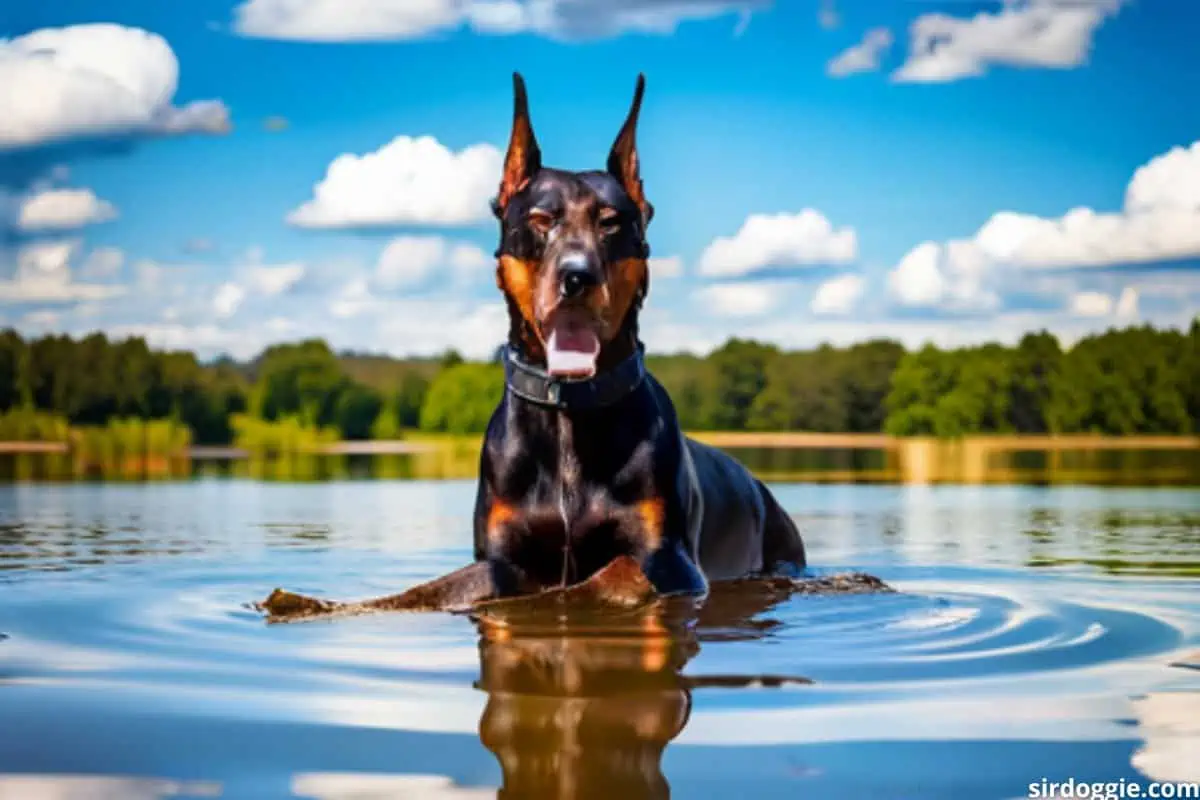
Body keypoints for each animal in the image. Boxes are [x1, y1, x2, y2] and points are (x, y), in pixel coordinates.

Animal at [470, 74, 806, 597]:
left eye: (611, 222)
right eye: (541, 220)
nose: (577, 276)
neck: (571, 411)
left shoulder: (667, 557)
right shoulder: (500, 554)